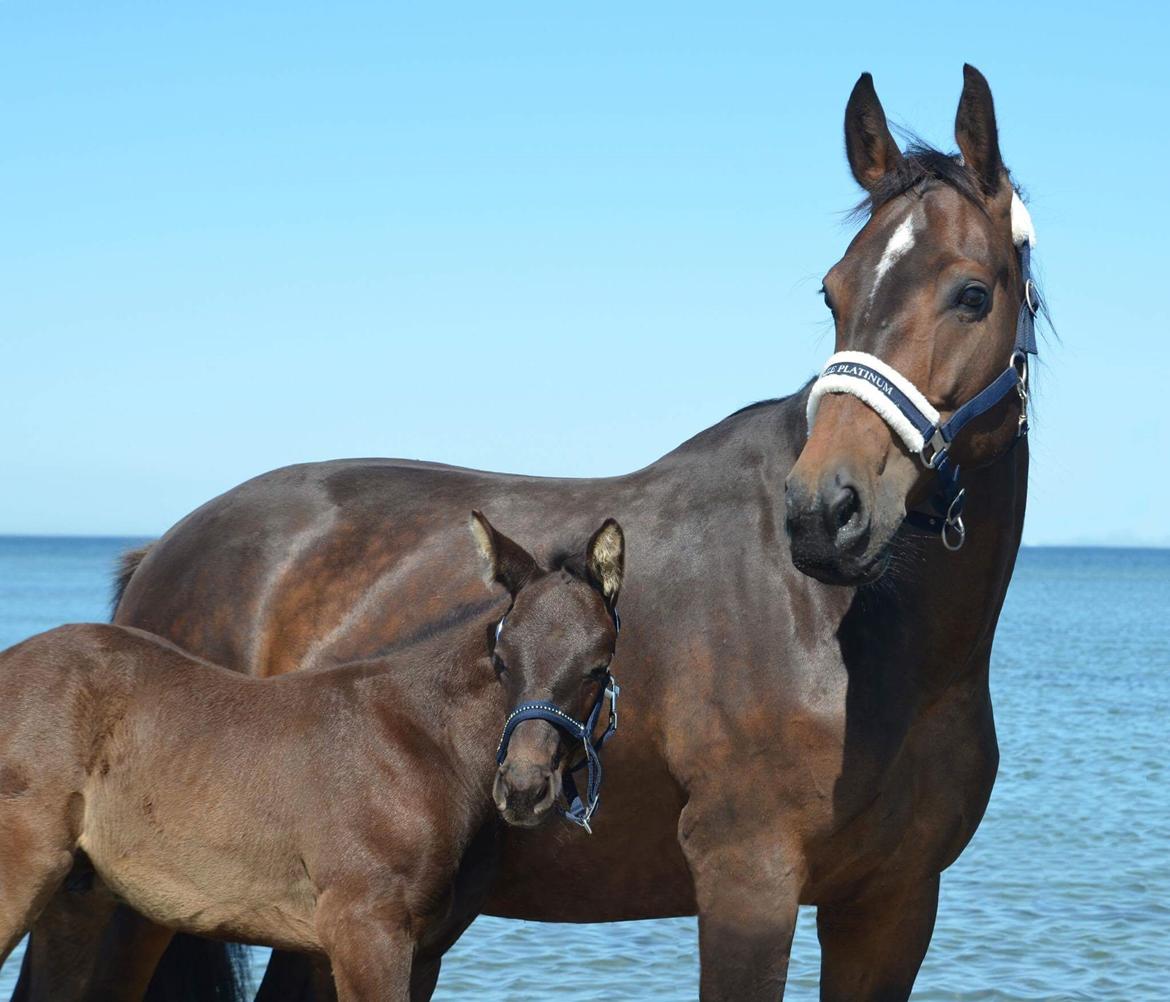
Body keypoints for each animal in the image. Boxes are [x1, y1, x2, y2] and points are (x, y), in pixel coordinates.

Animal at [0, 517, 622, 1002]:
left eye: (596, 667)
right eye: (502, 658)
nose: (522, 787)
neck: (420, 743)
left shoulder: (423, 951)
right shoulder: (363, 931)